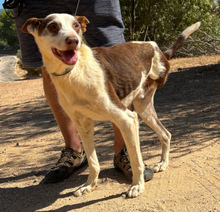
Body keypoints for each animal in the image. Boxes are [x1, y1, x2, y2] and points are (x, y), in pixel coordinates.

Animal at [21, 14, 200, 198]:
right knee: (165, 134)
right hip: (143, 108)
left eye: (76, 25)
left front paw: (137, 186)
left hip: (138, 110)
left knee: (161, 135)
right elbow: (93, 162)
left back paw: (160, 165)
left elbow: (136, 160)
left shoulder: (127, 118)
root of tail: (155, 47)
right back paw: (163, 163)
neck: (74, 72)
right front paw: (89, 185)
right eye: (52, 26)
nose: (73, 40)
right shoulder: (83, 126)